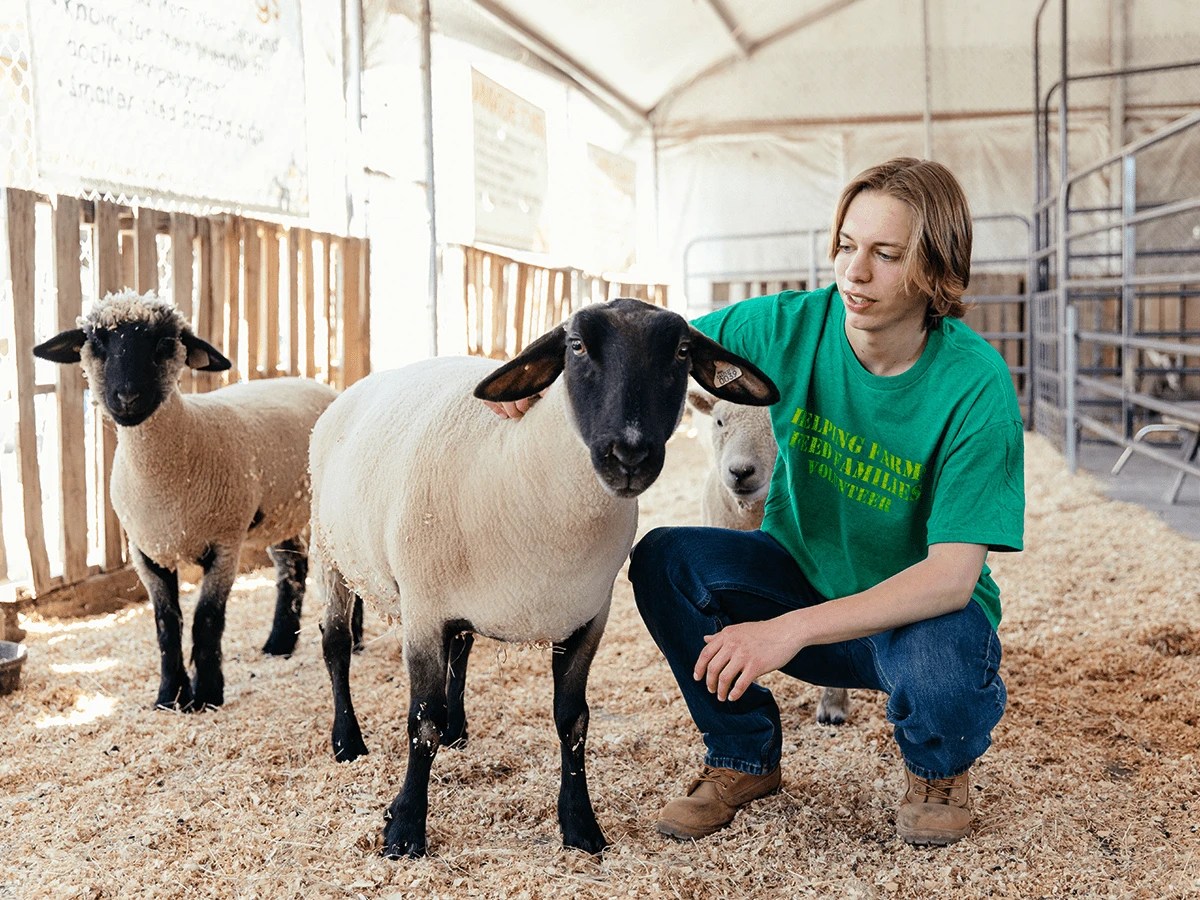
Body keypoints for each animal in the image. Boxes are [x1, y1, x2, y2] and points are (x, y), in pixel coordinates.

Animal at [33, 289, 339, 712]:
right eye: (96, 342)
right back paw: (279, 644)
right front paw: (169, 695)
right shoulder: (147, 552)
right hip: (280, 514)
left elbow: (206, 620)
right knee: (292, 568)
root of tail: (320, 385)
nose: (127, 397)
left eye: (164, 343)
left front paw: (207, 694)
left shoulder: (225, 544)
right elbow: (167, 624)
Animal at [309, 298, 779, 858]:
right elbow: (421, 723)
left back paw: (457, 731)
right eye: (575, 345)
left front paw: (581, 827)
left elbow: (573, 720)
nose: (629, 455)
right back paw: (347, 742)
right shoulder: (422, 611)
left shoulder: (587, 618)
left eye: (683, 350)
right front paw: (404, 831)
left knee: (461, 648)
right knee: (336, 642)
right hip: (330, 551)